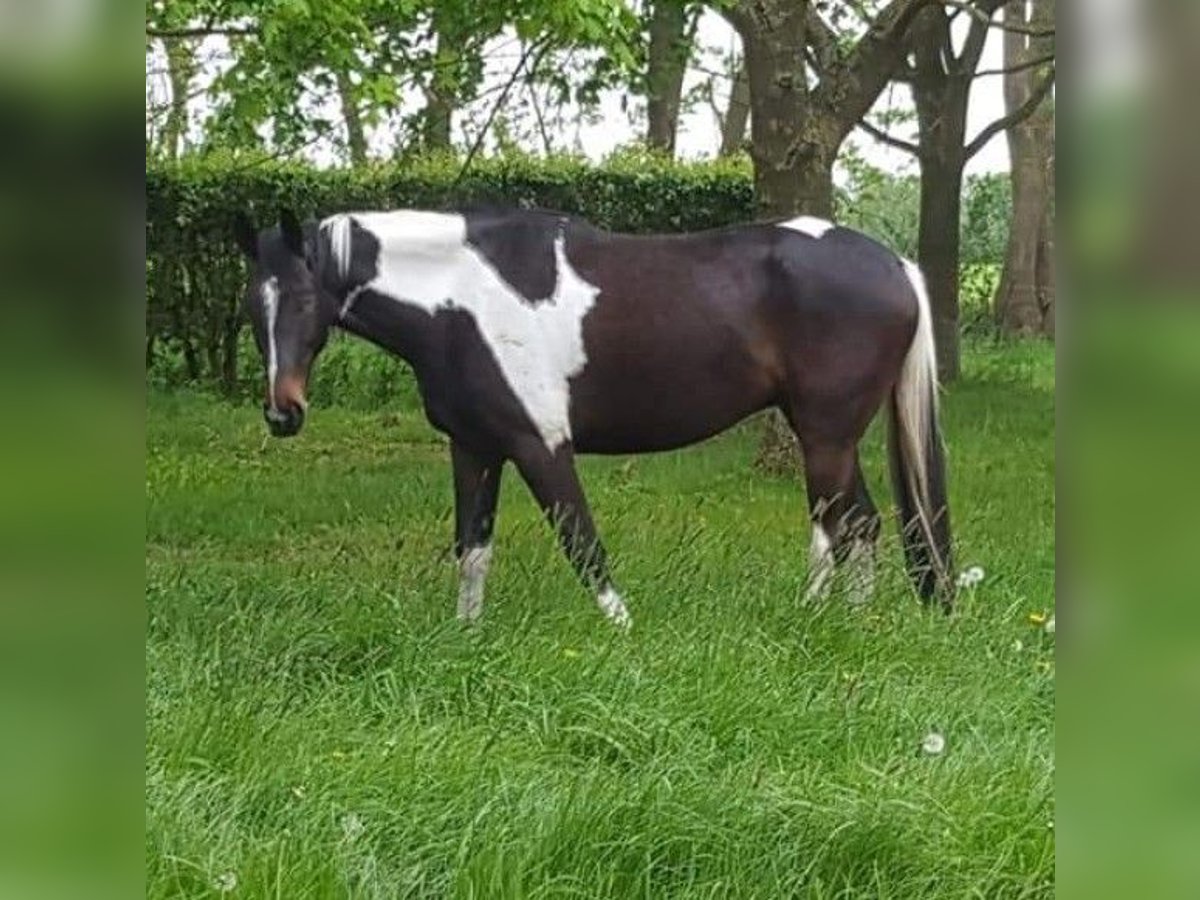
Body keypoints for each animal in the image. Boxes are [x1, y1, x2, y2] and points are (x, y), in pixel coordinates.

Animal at [229, 205, 950, 628]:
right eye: (251, 304)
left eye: (303, 299)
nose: (283, 412)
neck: (462, 299)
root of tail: (898, 265)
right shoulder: (474, 447)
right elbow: (473, 549)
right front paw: (466, 637)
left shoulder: (539, 444)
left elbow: (582, 544)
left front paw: (624, 634)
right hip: (836, 437)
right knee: (864, 525)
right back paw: (852, 627)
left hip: (824, 434)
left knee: (835, 528)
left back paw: (810, 622)